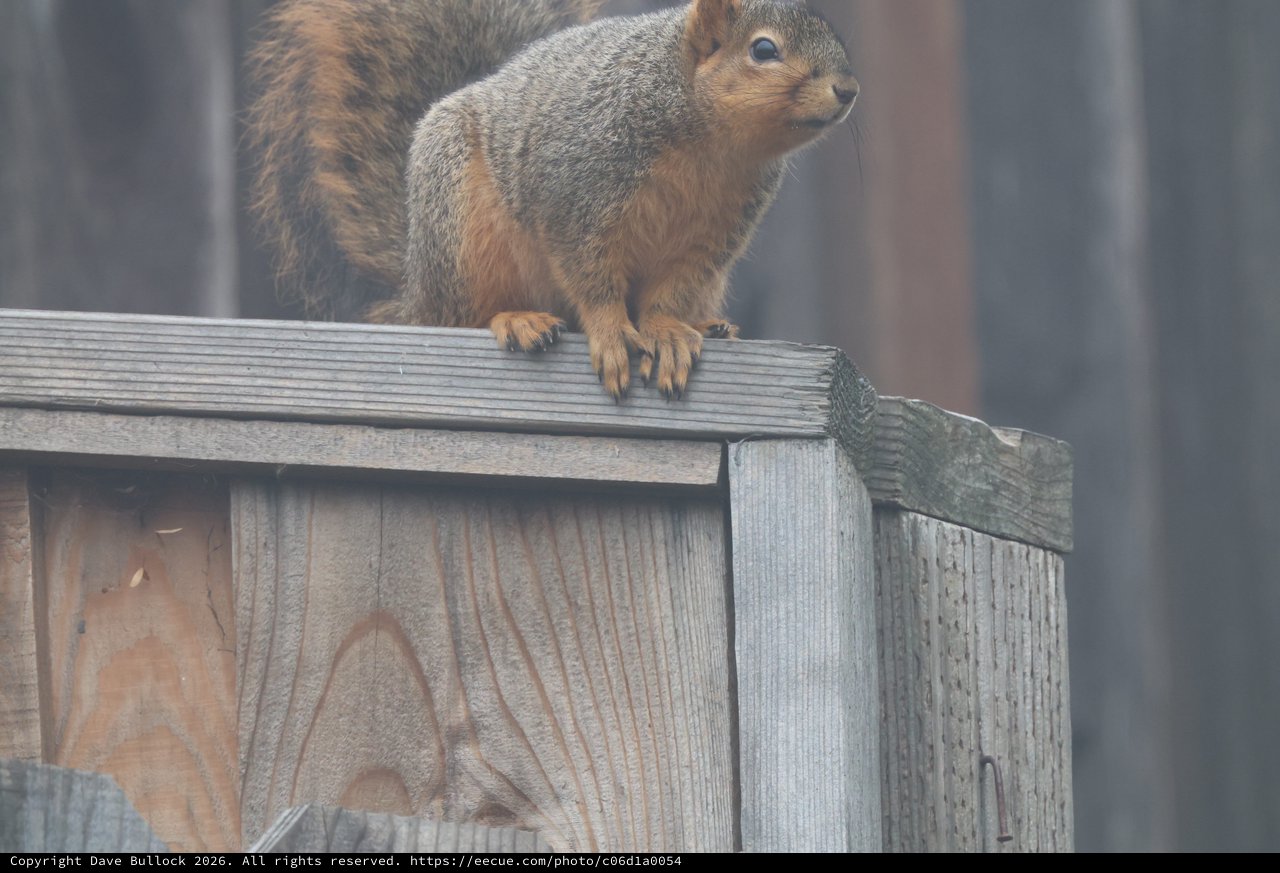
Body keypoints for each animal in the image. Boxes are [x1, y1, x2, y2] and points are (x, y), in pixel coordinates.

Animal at [247, 0, 857, 399]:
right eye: (763, 49)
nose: (849, 90)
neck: (711, 140)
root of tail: (416, 288)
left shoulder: (714, 235)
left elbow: (671, 290)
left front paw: (665, 332)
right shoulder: (574, 192)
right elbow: (589, 272)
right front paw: (611, 331)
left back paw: (708, 326)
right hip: (462, 236)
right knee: (464, 318)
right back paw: (516, 319)